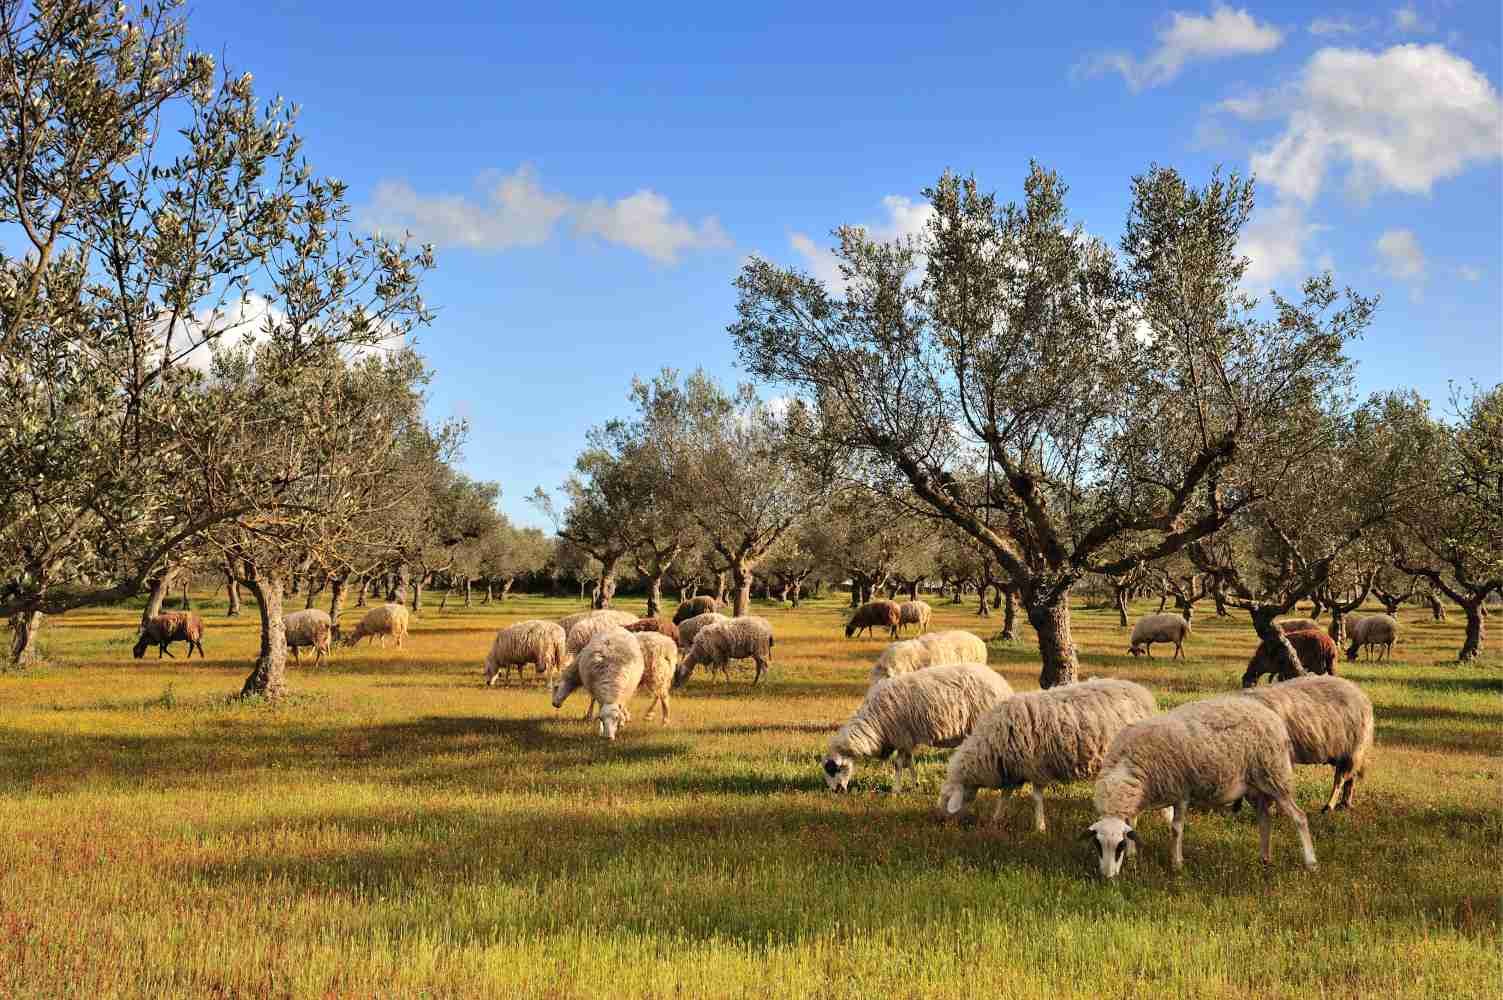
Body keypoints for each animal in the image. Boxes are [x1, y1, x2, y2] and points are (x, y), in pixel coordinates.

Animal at [822, 664, 1013, 792]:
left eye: (833, 769)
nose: (836, 791)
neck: (874, 723)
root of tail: (1002, 684)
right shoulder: (907, 738)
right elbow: (909, 762)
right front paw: (915, 784)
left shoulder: (900, 735)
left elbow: (898, 764)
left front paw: (895, 790)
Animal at [938, 679, 1158, 831]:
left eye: (947, 798)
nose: (941, 821)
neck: (991, 745)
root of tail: (1144, 694)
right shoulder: (1012, 769)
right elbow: (1005, 796)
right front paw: (996, 819)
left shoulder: (1035, 767)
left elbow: (1036, 798)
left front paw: (1040, 827)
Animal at [1087, 694, 1317, 878]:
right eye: (1097, 845)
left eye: (1119, 846)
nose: (1107, 878)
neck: (1128, 764)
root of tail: (1273, 717)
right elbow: (1133, 822)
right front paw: (1134, 856)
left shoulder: (1181, 792)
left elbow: (1176, 829)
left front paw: (1176, 864)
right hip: (1255, 787)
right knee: (1264, 819)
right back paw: (1265, 858)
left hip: (1275, 776)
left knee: (1299, 817)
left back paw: (1311, 862)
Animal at [1241, 675, 1375, 812]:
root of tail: (1362, 695)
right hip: (1344, 753)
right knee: (1350, 777)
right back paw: (1344, 804)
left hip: (1352, 749)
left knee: (1341, 779)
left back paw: (1329, 806)